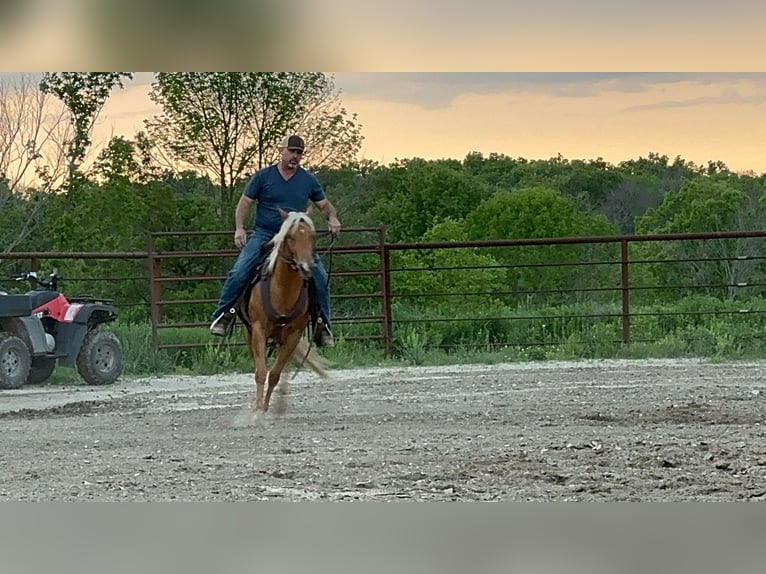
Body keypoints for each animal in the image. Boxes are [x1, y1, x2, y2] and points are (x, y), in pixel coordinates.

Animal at [243, 207, 330, 414]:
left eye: (312, 236)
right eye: (290, 236)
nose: (306, 267)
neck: (282, 291)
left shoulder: (294, 334)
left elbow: (275, 373)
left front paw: (267, 405)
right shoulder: (258, 330)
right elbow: (261, 371)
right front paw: (258, 407)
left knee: (285, 366)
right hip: (250, 333)